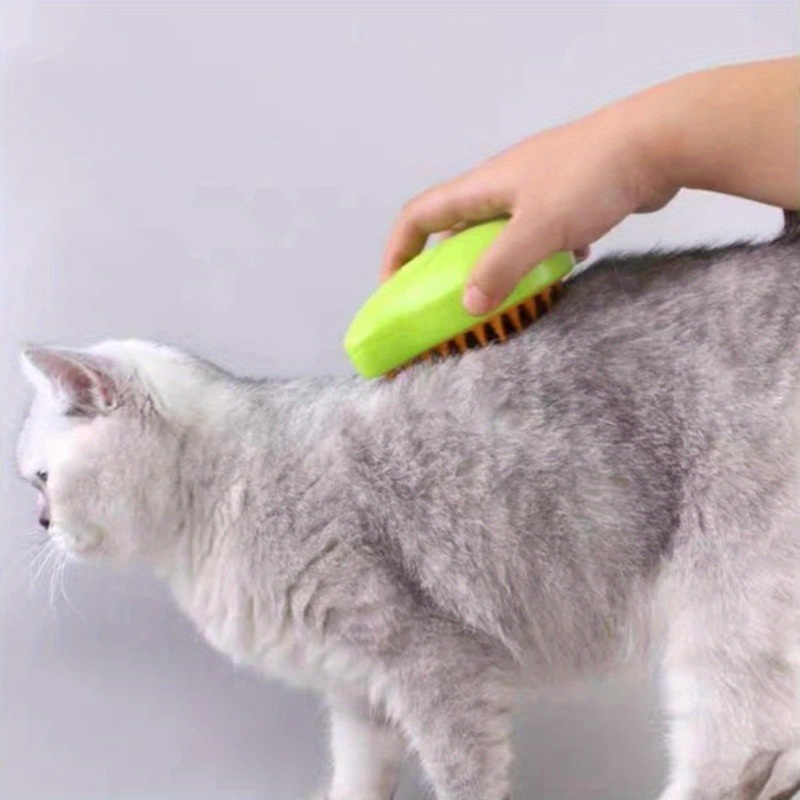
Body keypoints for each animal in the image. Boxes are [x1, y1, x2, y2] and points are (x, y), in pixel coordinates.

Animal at [16, 212, 800, 800]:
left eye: (40, 479)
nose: (42, 523)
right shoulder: (358, 694)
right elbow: (357, 780)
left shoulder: (433, 665)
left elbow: (464, 776)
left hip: (724, 608)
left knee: (731, 755)